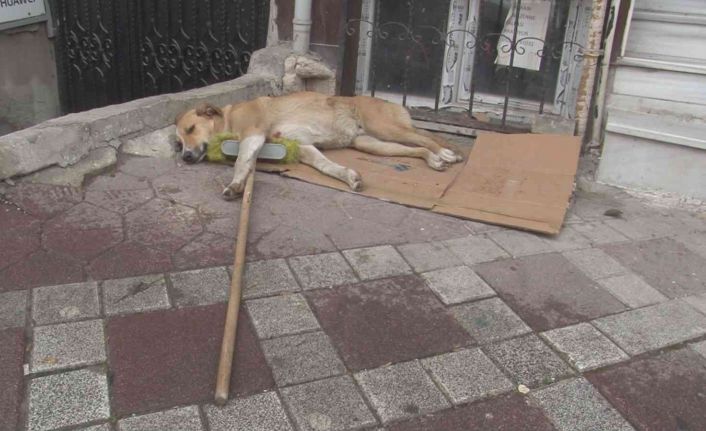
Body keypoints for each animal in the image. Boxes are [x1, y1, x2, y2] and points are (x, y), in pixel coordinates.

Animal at [175, 93, 462, 201]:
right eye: (178, 143)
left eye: (191, 129)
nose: (186, 157)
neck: (229, 118)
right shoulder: (304, 147)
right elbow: (326, 166)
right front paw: (349, 176)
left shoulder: (253, 134)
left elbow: (241, 161)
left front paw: (236, 185)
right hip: (372, 144)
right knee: (417, 149)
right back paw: (434, 160)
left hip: (386, 127)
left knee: (424, 137)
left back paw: (445, 152)